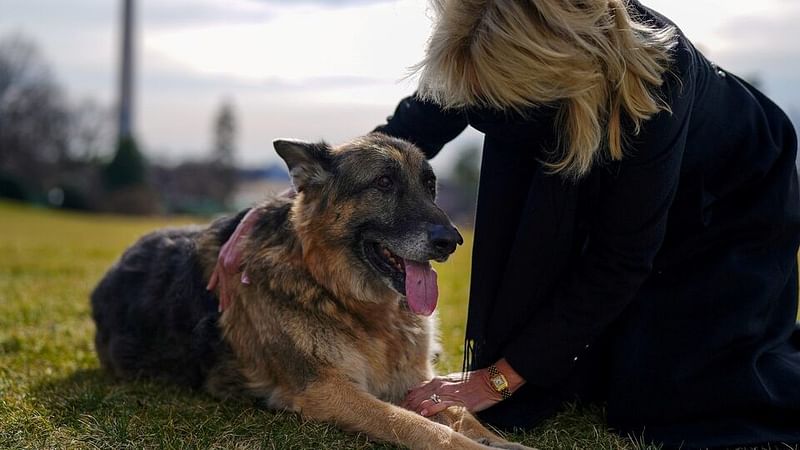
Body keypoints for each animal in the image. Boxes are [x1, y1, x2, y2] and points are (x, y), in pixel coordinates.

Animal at [90, 134, 532, 450]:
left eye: (430, 186)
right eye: (384, 183)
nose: (452, 241)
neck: (339, 293)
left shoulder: (418, 382)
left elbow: (462, 413)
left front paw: (504, 442)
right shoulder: (327, 390)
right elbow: (419, 427)